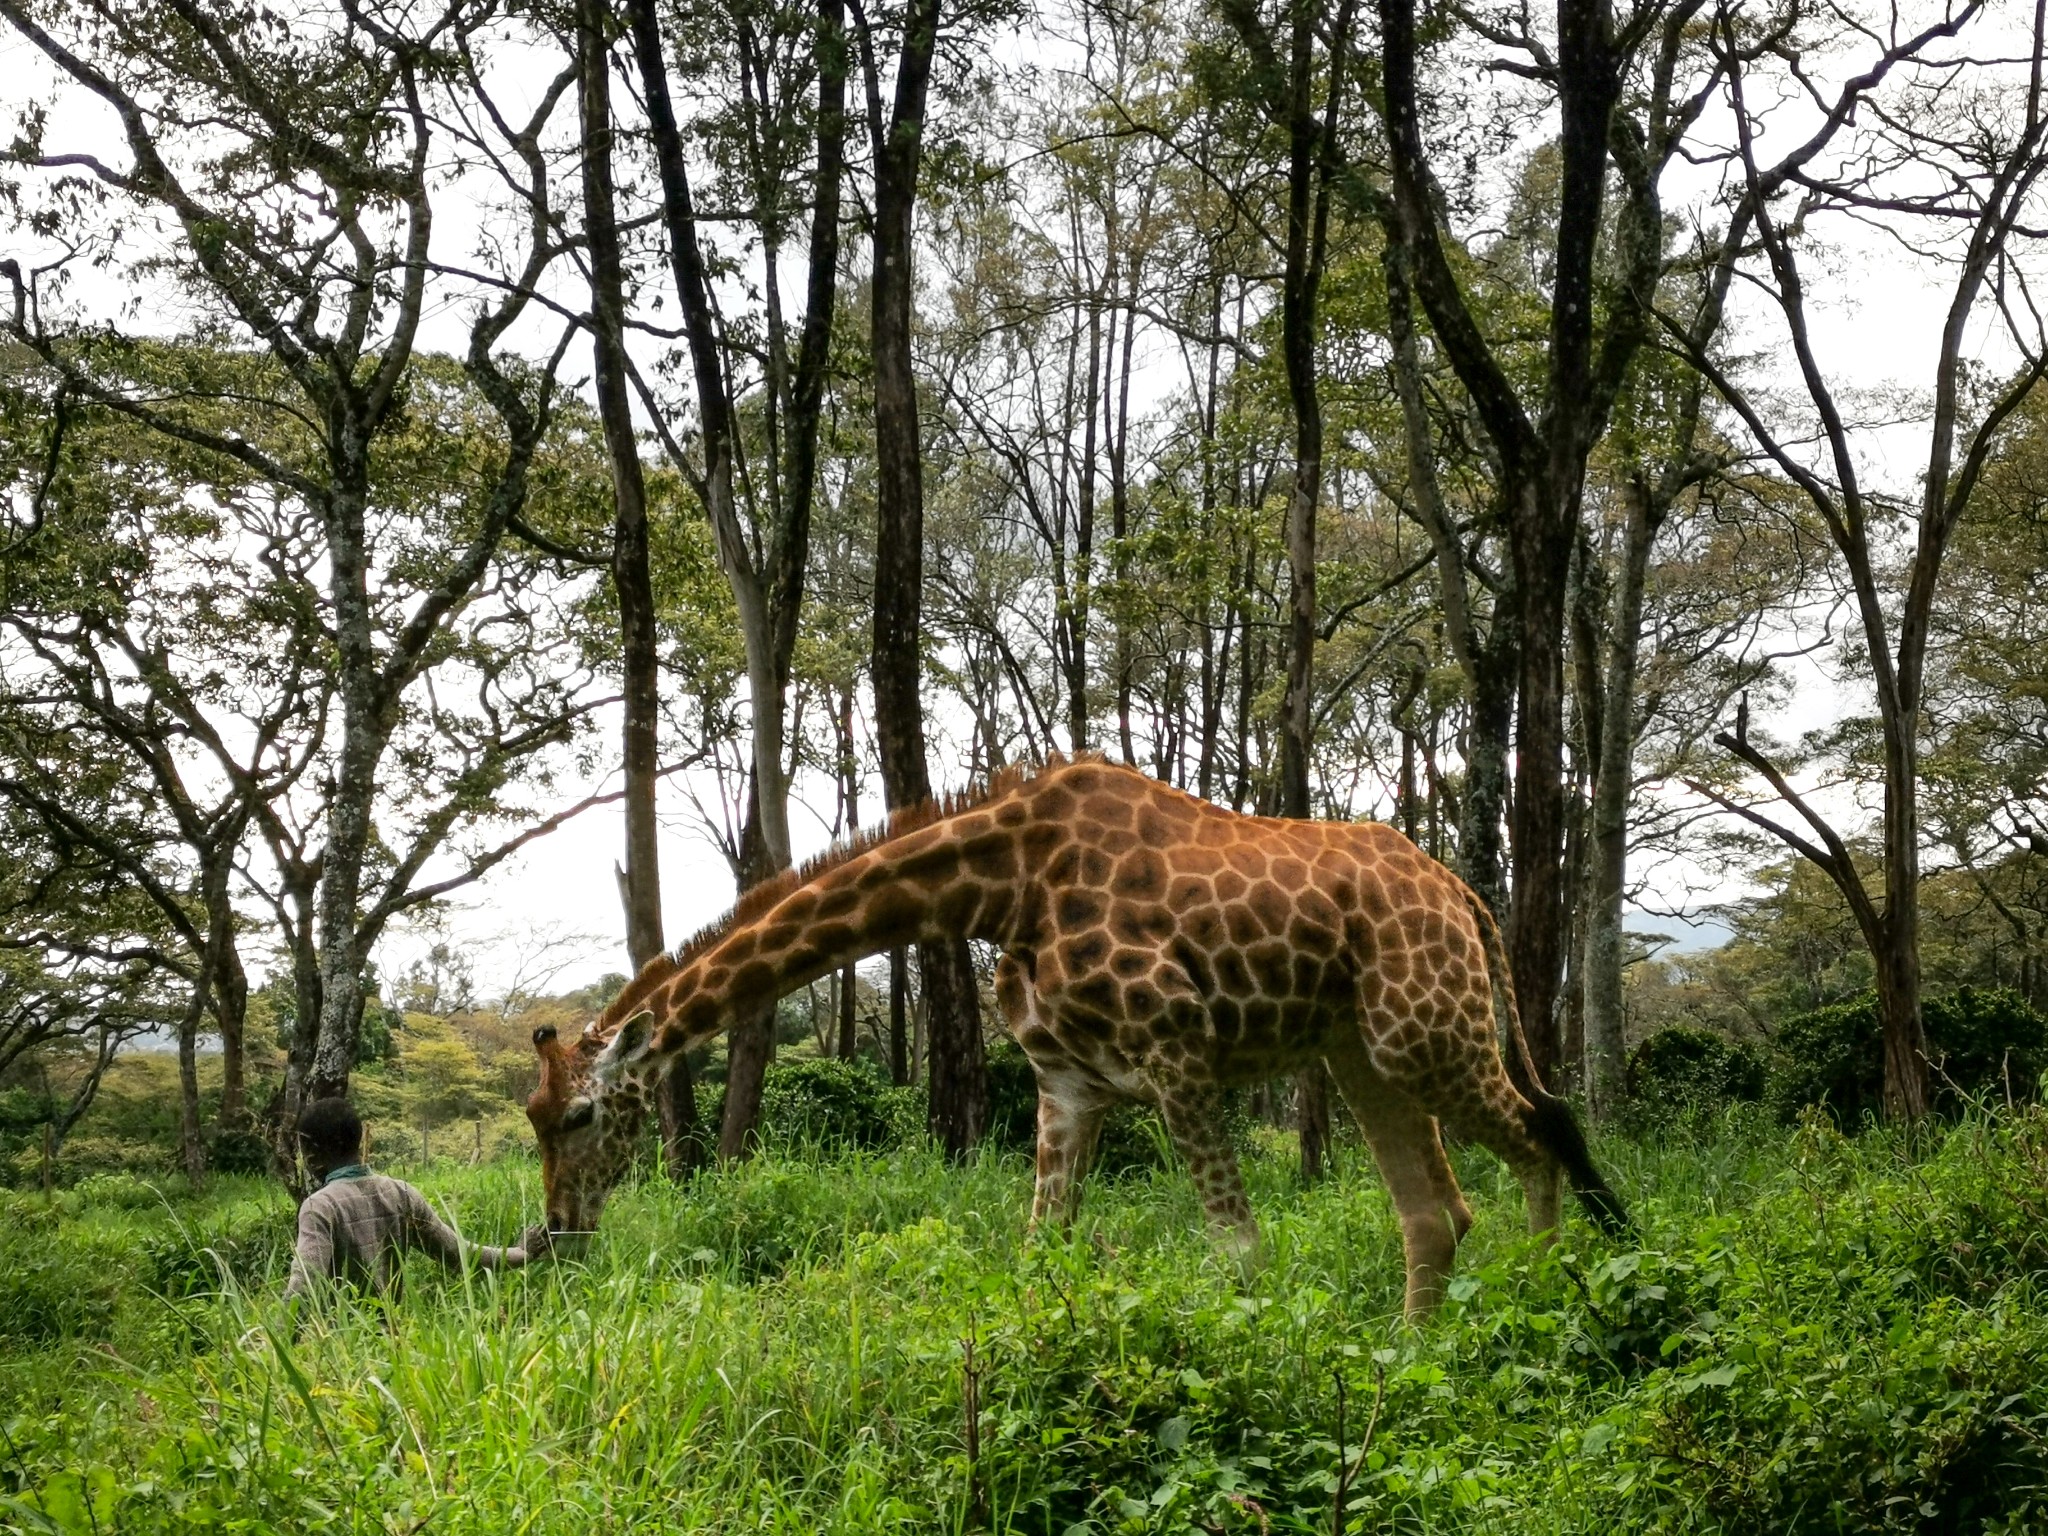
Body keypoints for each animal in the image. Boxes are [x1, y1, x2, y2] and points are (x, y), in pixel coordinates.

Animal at [528, 753, 1630, 1318]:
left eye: (579, 1117)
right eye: (531, 1120)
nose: (560, 1230)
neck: (1000, 883)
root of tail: (1460, 893)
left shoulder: (1177, 1051)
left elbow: (1238, 1252)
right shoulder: (1067, 1085)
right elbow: (1034, 1252)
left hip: (1420, 1029)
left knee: (1545, 1133)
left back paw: (1546, 1311)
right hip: (1360, 1049)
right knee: (1436, 1211)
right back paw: (1411, 1361)